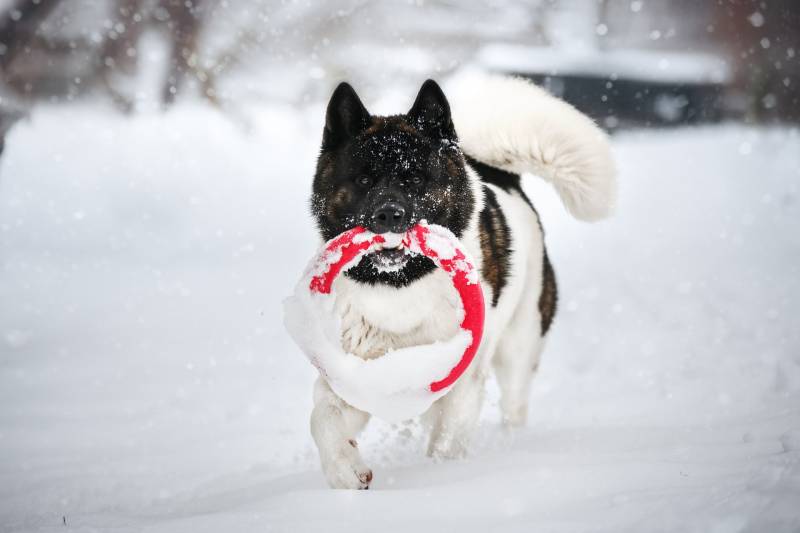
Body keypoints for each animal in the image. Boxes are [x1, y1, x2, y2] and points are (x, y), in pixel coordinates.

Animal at [310, 74, 616, 486]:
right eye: (363, 179)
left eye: (415, 178)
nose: (389, 215)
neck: (401, 286)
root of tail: (503, 176)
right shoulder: (354, 370)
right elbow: (323, 417)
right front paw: (345, 470)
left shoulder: (462, 382)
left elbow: (447, 441)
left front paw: (442, 479)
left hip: (520, 345)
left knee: (514, 404)